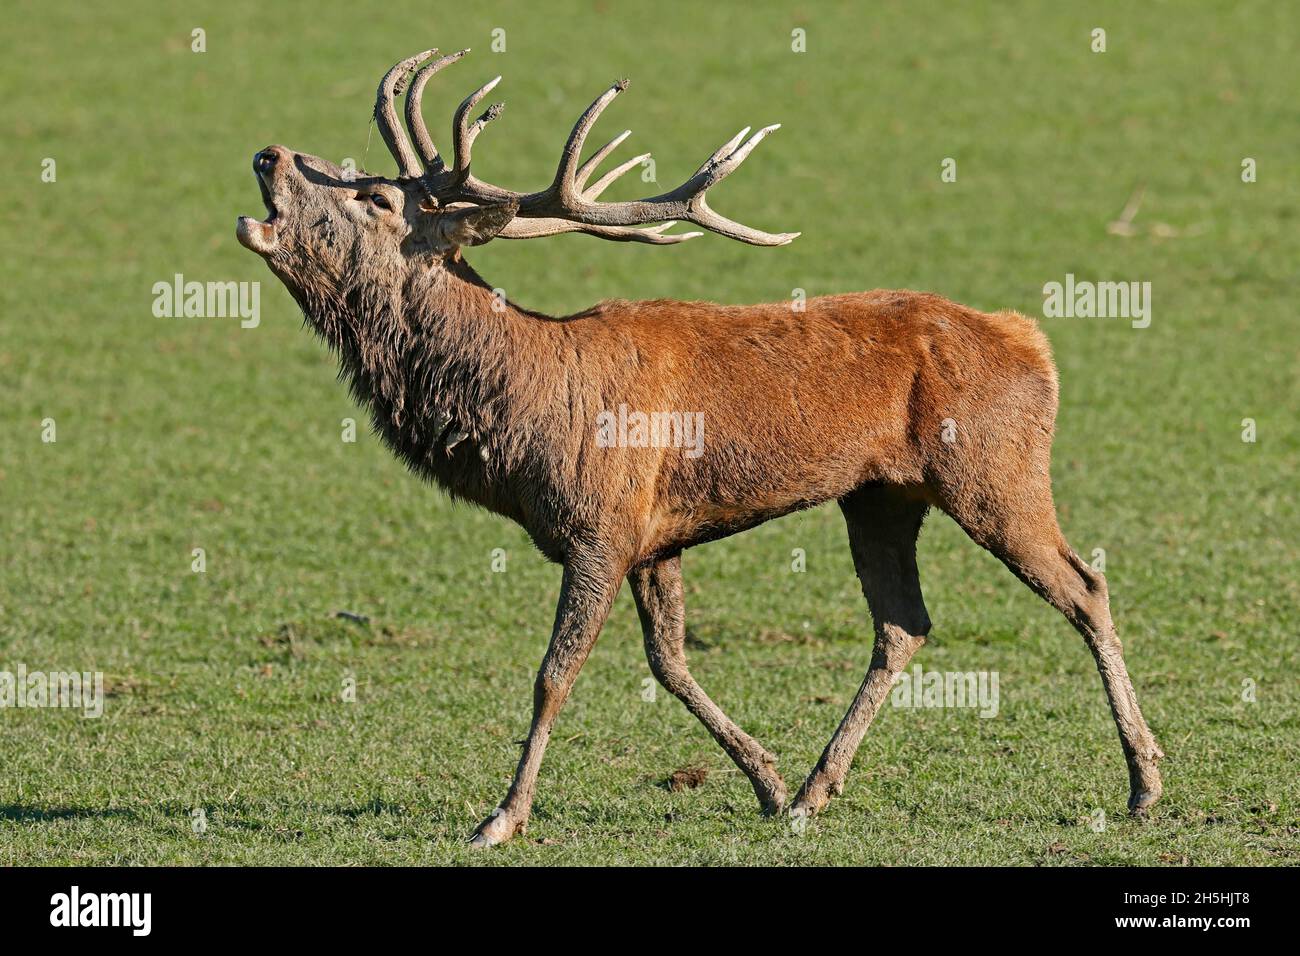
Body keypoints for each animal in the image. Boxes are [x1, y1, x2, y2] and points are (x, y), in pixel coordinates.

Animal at [239, 48, 1164, 848]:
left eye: (375, 197)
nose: (268, 151)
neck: (525, 420)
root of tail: (1032, 342)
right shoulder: (655, 540)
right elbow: (670, 662)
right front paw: (766, 779)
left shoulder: (601, 525)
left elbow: (554, 674)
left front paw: (500, 818)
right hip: (880, 495)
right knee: (903, 623)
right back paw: (814, 794)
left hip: (993, 471)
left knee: (1084, 585)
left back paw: (1144, 782)